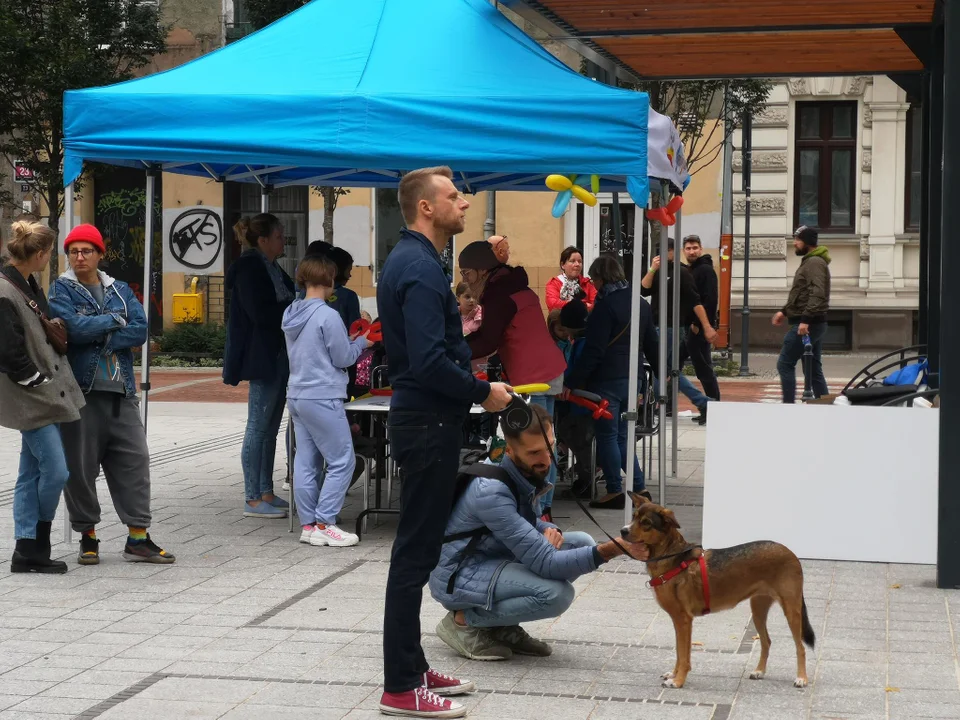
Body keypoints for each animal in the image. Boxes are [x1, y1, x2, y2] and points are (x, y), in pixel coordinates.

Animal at [620, 492, 812, 688]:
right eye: (633, 517)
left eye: (646, 523)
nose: (623, 531)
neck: (671, 556)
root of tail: (791, 553)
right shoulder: (677, 621)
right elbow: (679, 653)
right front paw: (674, 675)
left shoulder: (683, 619)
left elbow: (684, 656)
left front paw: (679, 681)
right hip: (758, 610)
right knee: (766, 641)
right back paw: (759, 671)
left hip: (791, 610)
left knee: (800, 647)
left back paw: (801, 678)